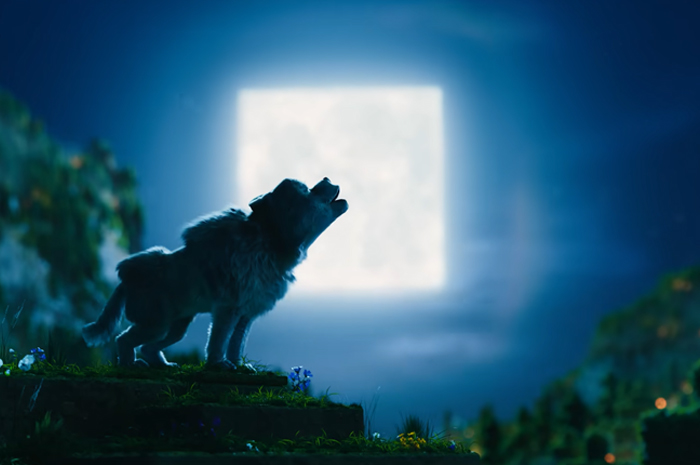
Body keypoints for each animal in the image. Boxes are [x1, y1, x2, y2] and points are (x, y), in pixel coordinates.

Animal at [82, 177, 348, 369]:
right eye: (307, 189)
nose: (327, 177)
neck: (270, 244)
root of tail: (125, 279)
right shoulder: (227, 309)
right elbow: (219, 341)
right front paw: (219, 365)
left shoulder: (246, 314)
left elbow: (237, 343)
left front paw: (240, 366)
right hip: (156, 323)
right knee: (123, 339)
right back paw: (129, 365)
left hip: (177, 327)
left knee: (149, 347)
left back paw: (163, 365)